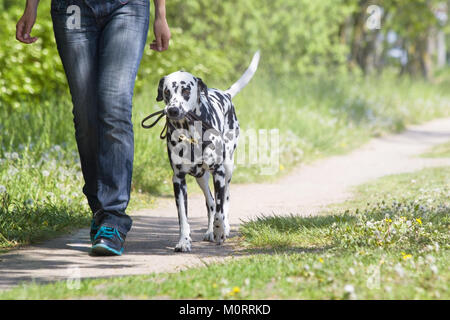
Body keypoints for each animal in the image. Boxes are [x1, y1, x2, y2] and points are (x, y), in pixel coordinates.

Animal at [156, 51, 258, 251]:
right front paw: (184, 241)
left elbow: (220, 210)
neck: (189, 132)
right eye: (166, 92)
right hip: (201, 177)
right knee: (210, 202)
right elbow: (183, 217)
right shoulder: (178, 180)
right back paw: (210, 230)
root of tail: (225, 94)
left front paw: (220, 231)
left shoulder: (219, 173)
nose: (172, 110)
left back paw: (223, 228)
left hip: (228, 168)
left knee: (224, 201)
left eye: (186, 91)